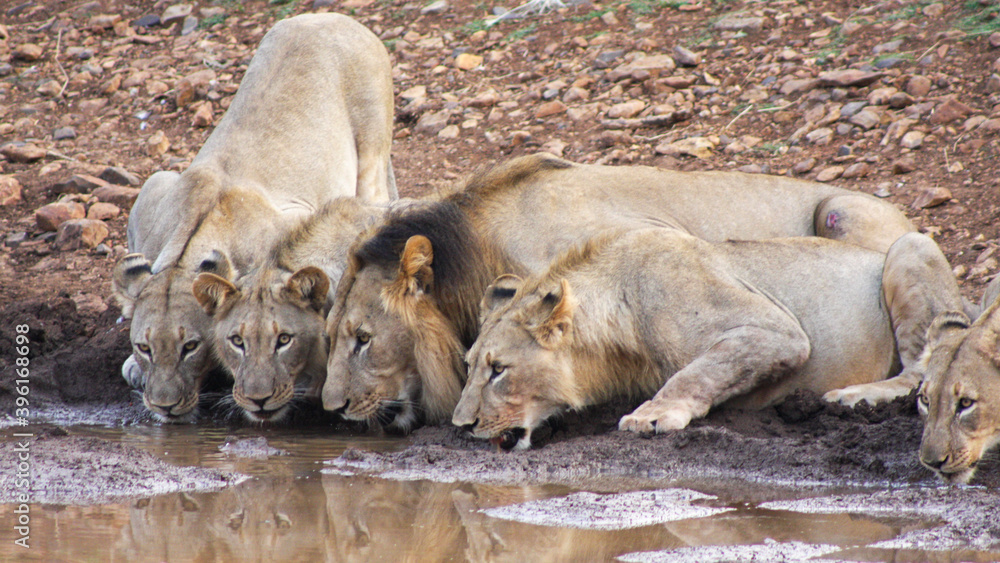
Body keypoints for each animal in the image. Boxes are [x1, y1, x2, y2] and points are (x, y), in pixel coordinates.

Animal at [452, 229, 963, 450]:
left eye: (499, 370)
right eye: (469, 366)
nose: (460, 425)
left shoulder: (776, 331)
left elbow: (696, 372)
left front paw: (653, 415)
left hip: (911, 245)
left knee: (922, 369)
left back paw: (857, 396)